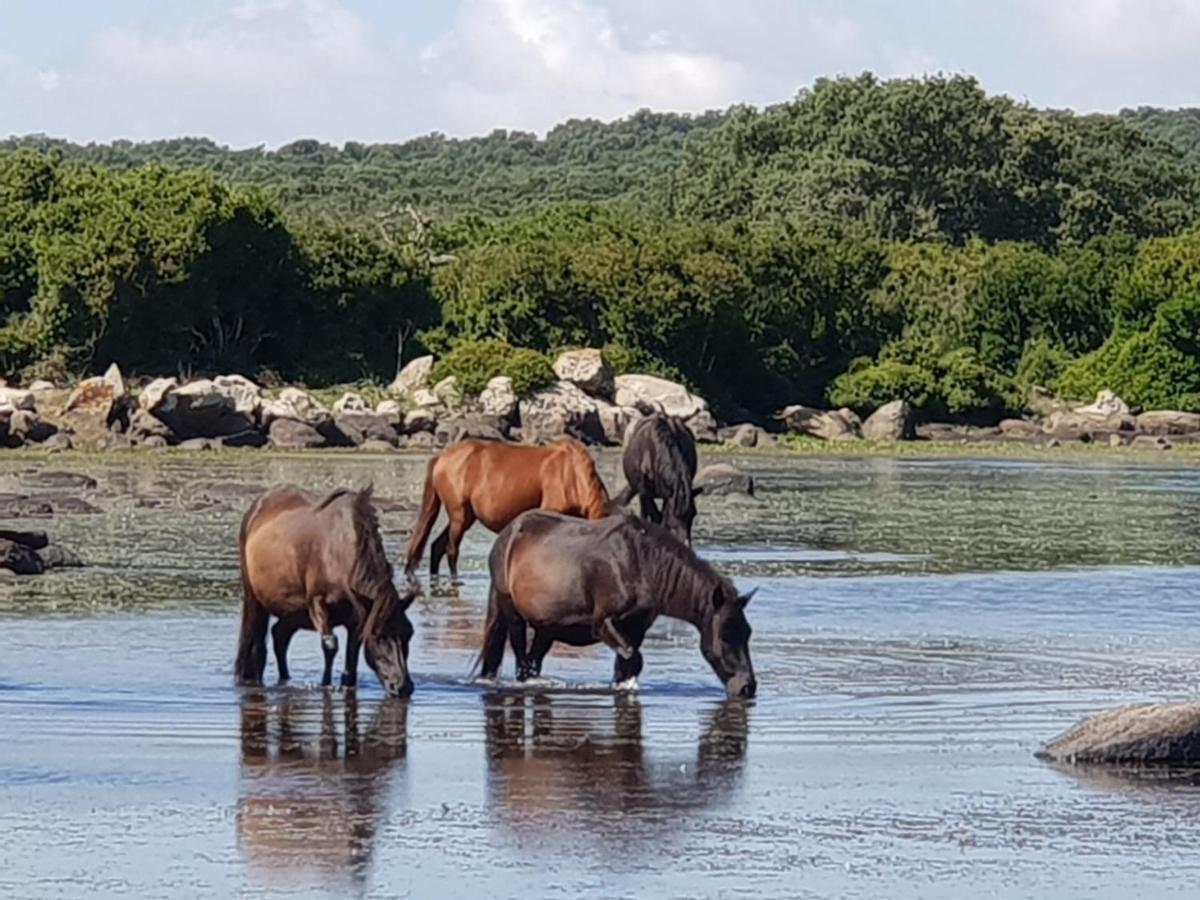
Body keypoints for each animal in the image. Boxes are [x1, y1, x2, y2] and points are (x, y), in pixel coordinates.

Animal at [236, 487, 415, 696]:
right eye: (379, 636)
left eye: (409, 633)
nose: (402, 687)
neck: (340, 552)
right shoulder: (317, 603)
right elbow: (329, 645)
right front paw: (325, 684)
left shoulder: (357, 615)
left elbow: (352, 655)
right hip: (255, 599)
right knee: (257, 645)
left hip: (294, 609)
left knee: (280, 634)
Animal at [405, 439, 614, 580]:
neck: (572, 475)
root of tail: (441, 458)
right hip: (458, 515)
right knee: (451, 550)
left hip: (465, 517)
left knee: (436, 547)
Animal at [477, 511, 758, 700]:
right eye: (724, 636)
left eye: (747, 634)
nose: (748, 687)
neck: (641, 564)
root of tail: (507, 534)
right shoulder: (605, 623)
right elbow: (632, 659)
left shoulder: (635, 628)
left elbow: (627, 662)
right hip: (512, 613)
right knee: (522, 660)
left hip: (546, 628)